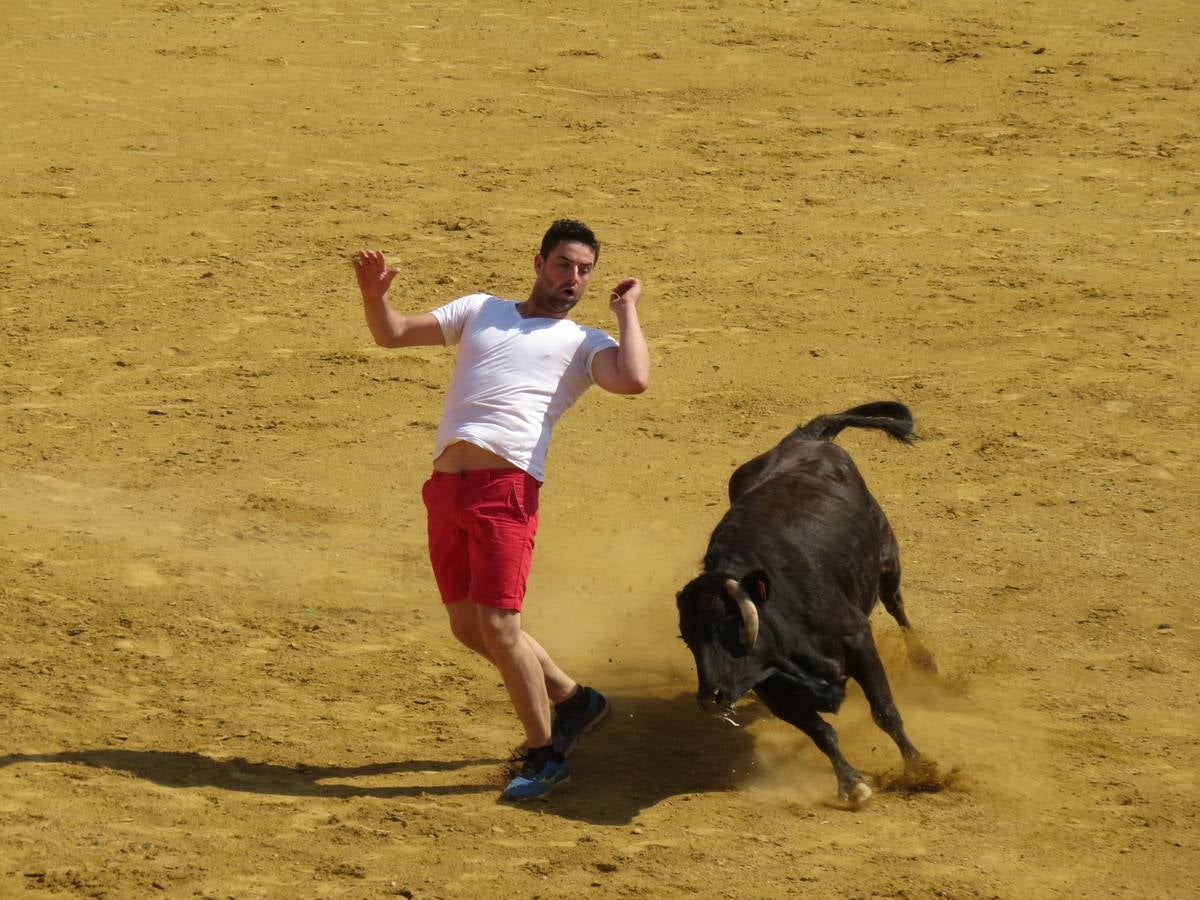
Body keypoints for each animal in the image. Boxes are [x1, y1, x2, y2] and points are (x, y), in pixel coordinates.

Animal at [676, 400, 936, 811]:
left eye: (729, 627)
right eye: (688, 639)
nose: (711, 699)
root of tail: (804, 438)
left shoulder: (859, 641)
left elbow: (885, 711)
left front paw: (919, 768)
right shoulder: (773, 688)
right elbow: (821, 733)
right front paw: (852, 785)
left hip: (886, 558)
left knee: (897, 605)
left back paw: (924, 662)